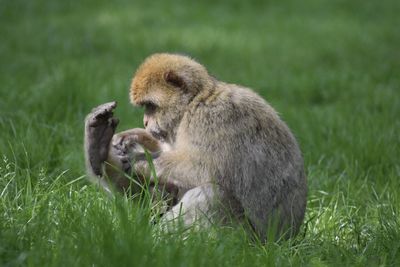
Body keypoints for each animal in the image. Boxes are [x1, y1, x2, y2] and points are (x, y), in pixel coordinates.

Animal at [84, 52, 308, 241]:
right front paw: (136, 137)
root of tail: (288, 238)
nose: (146, 122)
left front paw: (137, 160)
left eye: (150, 106)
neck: (195, 100)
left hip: (247, 238)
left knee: (212, 193)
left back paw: (154, 240)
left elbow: (202, 170)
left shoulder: (212, 118)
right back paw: (98, 151)